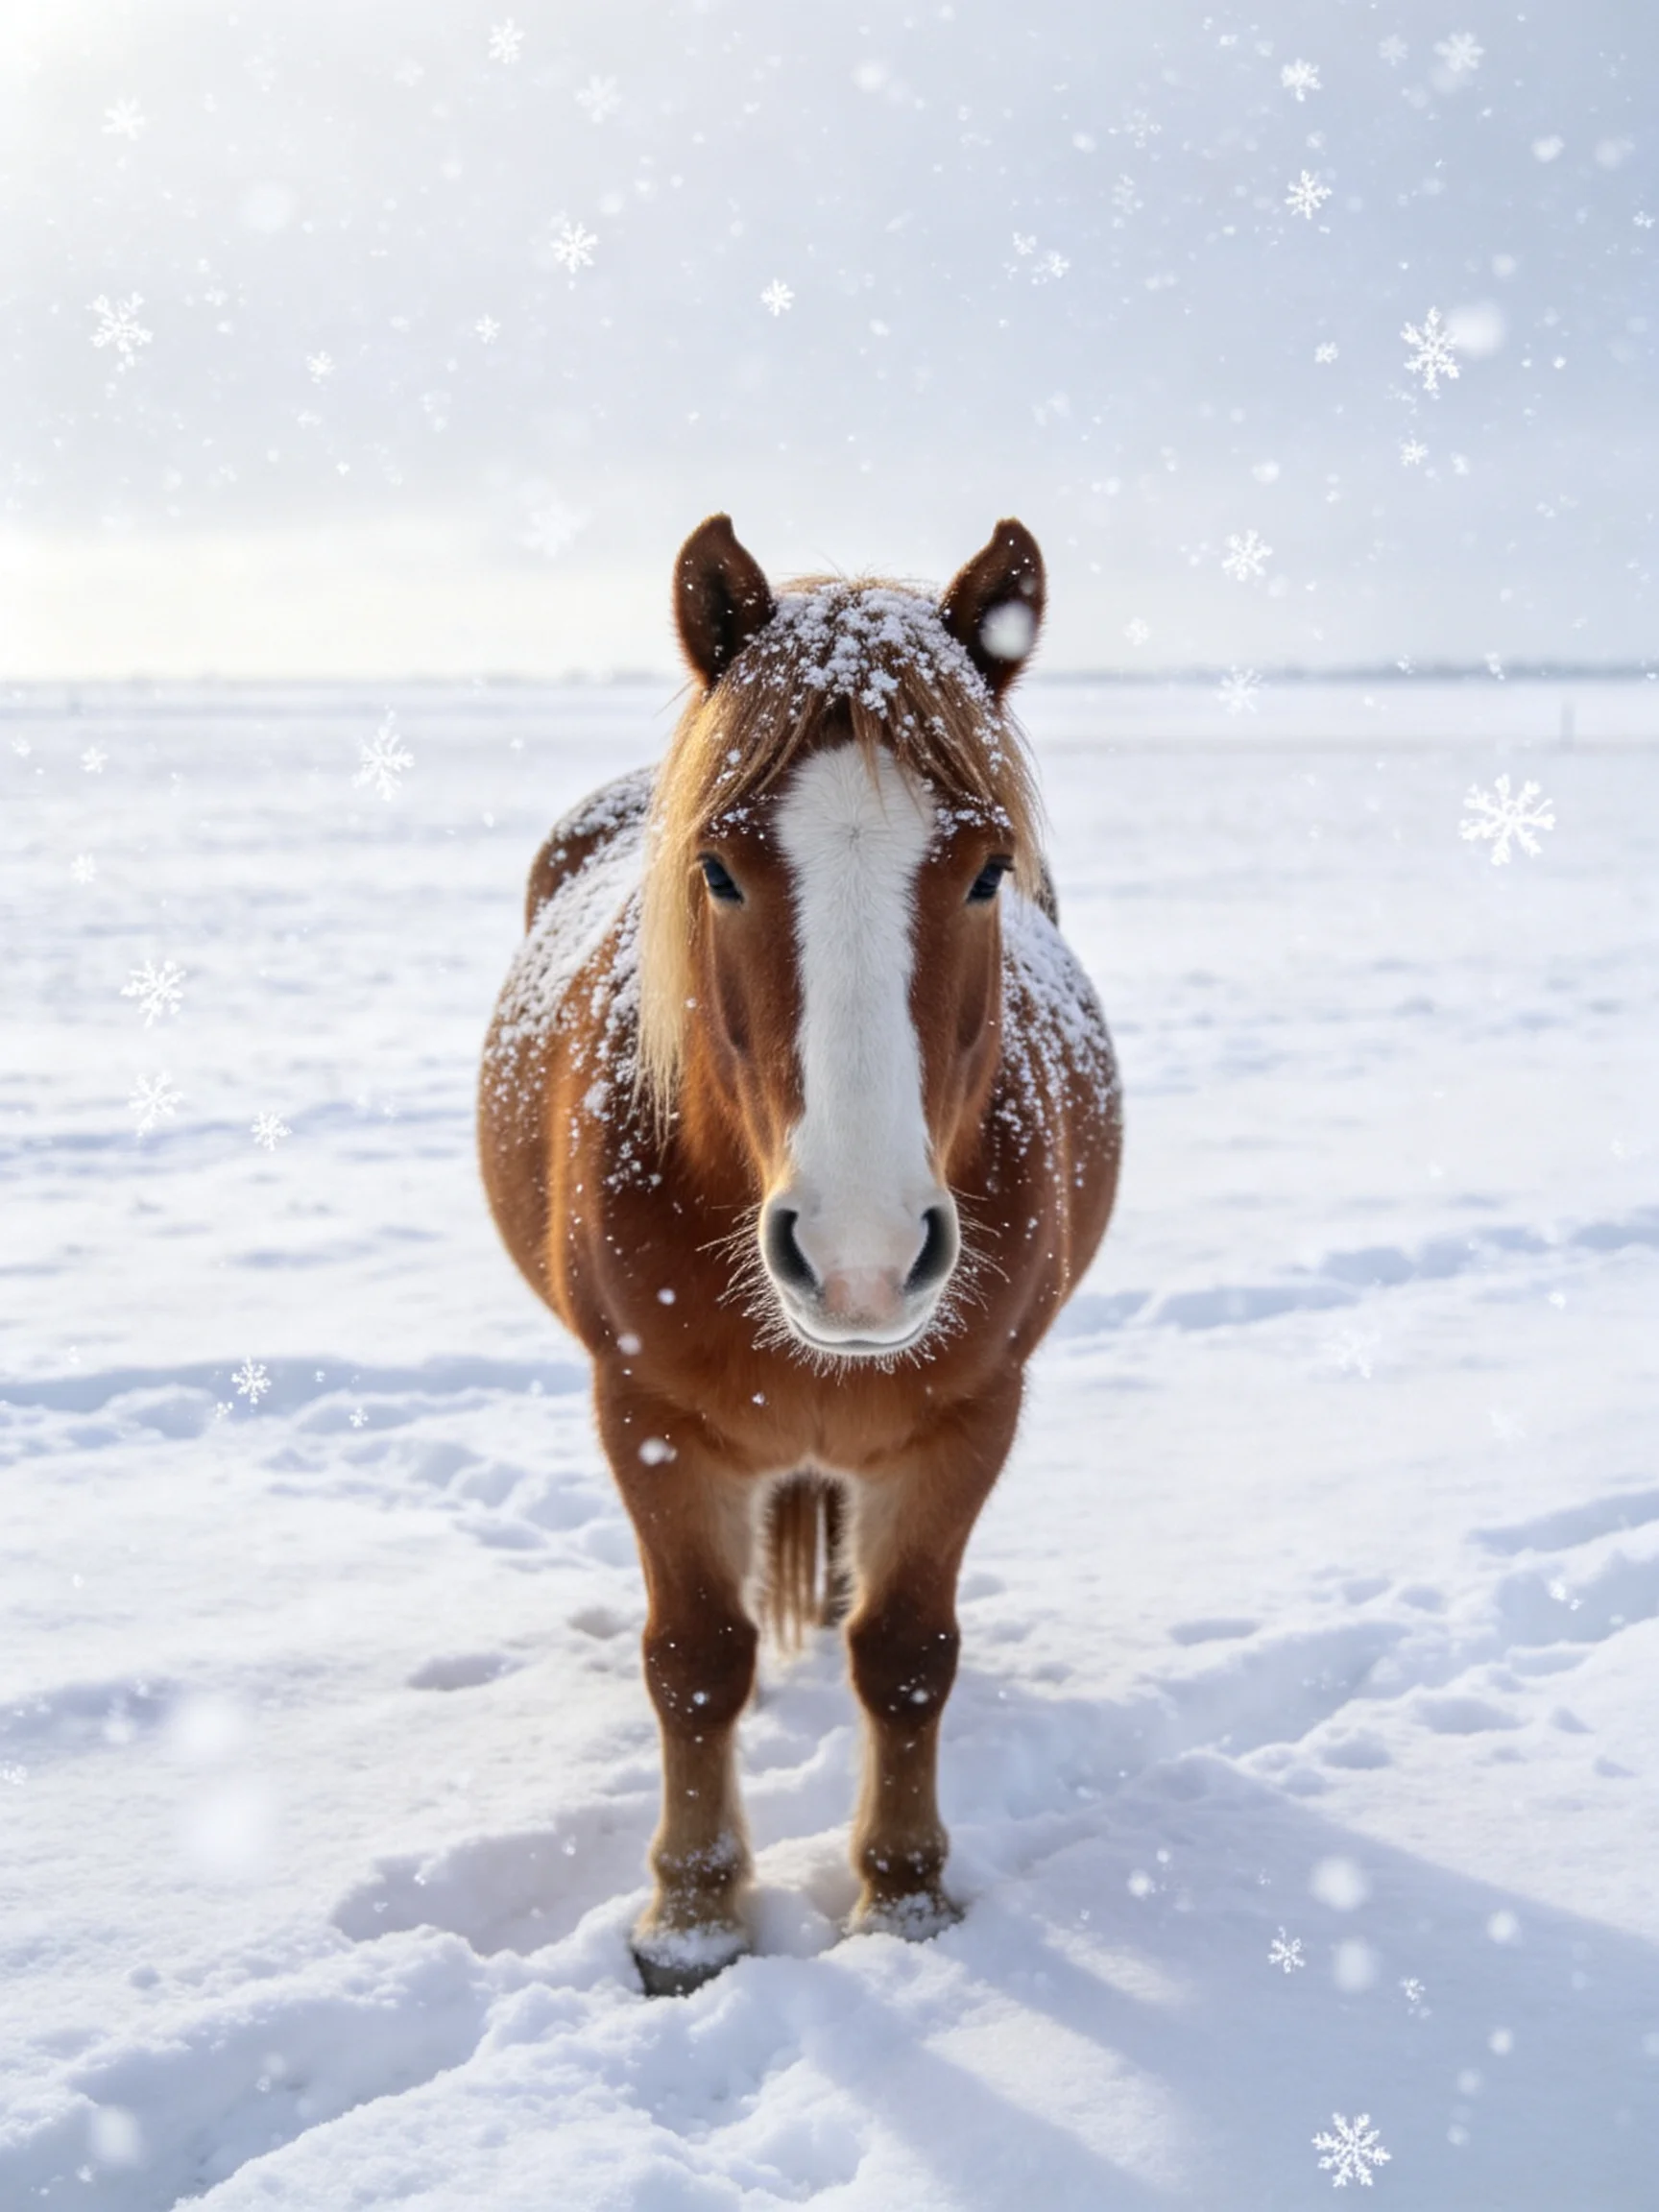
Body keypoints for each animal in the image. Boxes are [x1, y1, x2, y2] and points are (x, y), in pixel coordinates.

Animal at [479, 515, 1121, 1995]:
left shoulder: (969, 1412)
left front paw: (904, 1897)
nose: (861, 1256)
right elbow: (696, 1660)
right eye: (719, 868)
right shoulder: (647, 1415)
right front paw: (693, 1920)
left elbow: (908, 1654)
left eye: (987, 869)